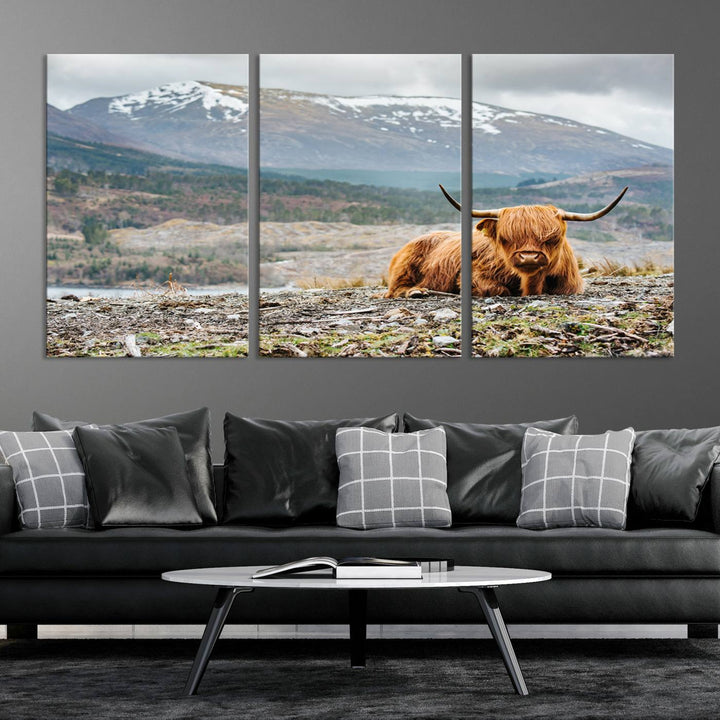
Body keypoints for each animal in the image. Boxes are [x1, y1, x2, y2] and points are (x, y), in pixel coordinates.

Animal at [386, 187, 628, 300]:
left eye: (552, 238)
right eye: (506, 238)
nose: (529, 256)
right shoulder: (475, 272)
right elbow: (497, 289)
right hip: (405, 268)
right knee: (394, 289)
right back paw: (416, 292)